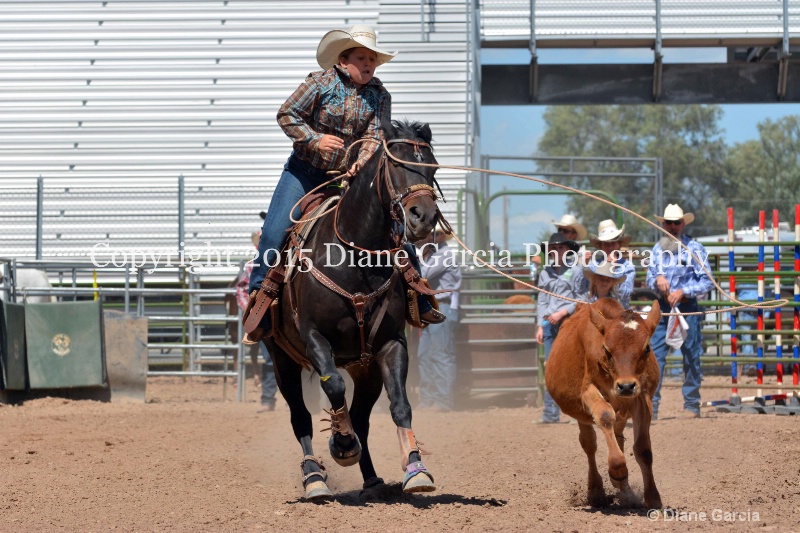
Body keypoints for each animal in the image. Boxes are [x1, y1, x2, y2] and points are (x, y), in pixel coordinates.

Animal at [266, 119, 444, 498]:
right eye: (396, 165)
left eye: (433, 167)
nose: (423, 217)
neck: (354, 256)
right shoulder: (314, 338)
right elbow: (333, 388)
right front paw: (342, 446)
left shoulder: (390, 344)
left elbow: (400, 405)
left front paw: (416, 469)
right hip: (281, 359)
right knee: (300, 416)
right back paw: (314, 478)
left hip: (366, 368)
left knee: (362, 417)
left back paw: (372, 480)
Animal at [544, 298, 664, 510]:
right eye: (607, 350)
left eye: (646, 348)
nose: (626, 386)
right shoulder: (588, 391)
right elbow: (605, 416)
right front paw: (617, 471)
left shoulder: (642, 398)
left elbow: (643, 450)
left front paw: (652, 497)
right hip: (581, 414)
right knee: (589, 444)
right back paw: (596, 492)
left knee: (618, 437)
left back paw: (625, 492)